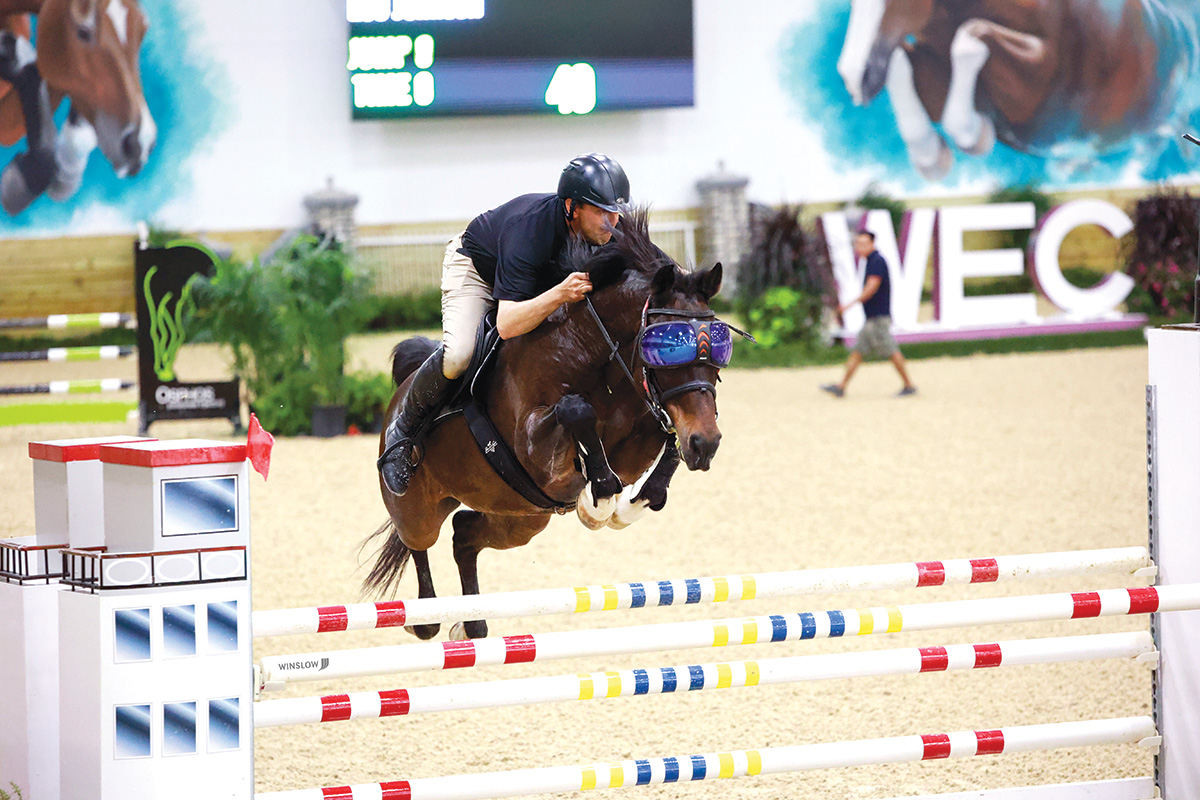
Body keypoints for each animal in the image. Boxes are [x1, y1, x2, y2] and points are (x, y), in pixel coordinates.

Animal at [360, 209, 724, 642]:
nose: (707, 443)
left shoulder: (637, 441)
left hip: (521, 518)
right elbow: (576, 412)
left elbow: (661, 442)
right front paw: (598, 500)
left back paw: (472, 624)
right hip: (419, 506)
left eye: (719, 346)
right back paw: (428, 617)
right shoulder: (536, 449)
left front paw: (631, 502)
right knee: (419, 539)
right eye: (668, 345)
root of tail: (397, 399)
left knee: (464, 533)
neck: (586, 349)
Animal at [840, 1, 1195, 179]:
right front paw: (931, 156)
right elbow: (900, 61)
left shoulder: (1036, 94)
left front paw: (974, 133)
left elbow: (972, 37)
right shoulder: (933, 69)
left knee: (1158, 141)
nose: (854, 77)